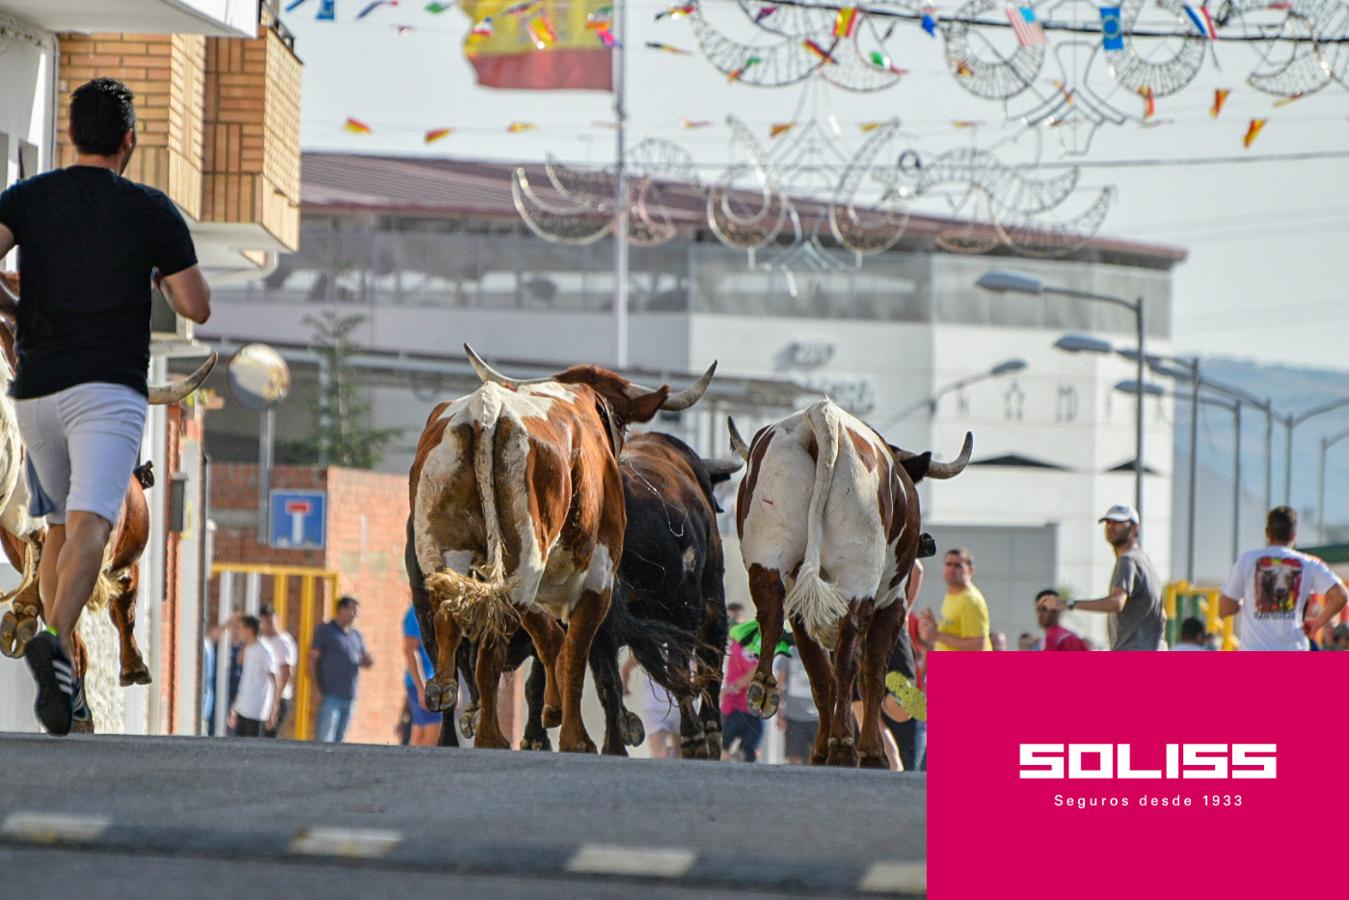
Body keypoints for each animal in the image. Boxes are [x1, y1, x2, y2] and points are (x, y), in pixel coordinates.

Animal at [410, 345, 717, 755]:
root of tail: (485, 412)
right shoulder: (598, 579)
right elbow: (576, 653)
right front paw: (576, 736)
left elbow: (551, 643)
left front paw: (553, 713)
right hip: (522, 560)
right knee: (492, 645)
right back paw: (491, 735)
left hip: (440, 551)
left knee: (448, 614)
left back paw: (446, 691)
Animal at [728, 399, 971, 766]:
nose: (928, 543)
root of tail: (821, 415)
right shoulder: (894, 600)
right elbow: (873, 673)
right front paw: (870, 751)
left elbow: (819, 673)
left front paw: (819, 749)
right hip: (857, 576)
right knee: (848, 659)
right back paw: (844, 745)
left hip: (768, 551)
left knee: (775, 620)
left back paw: (765, 689)